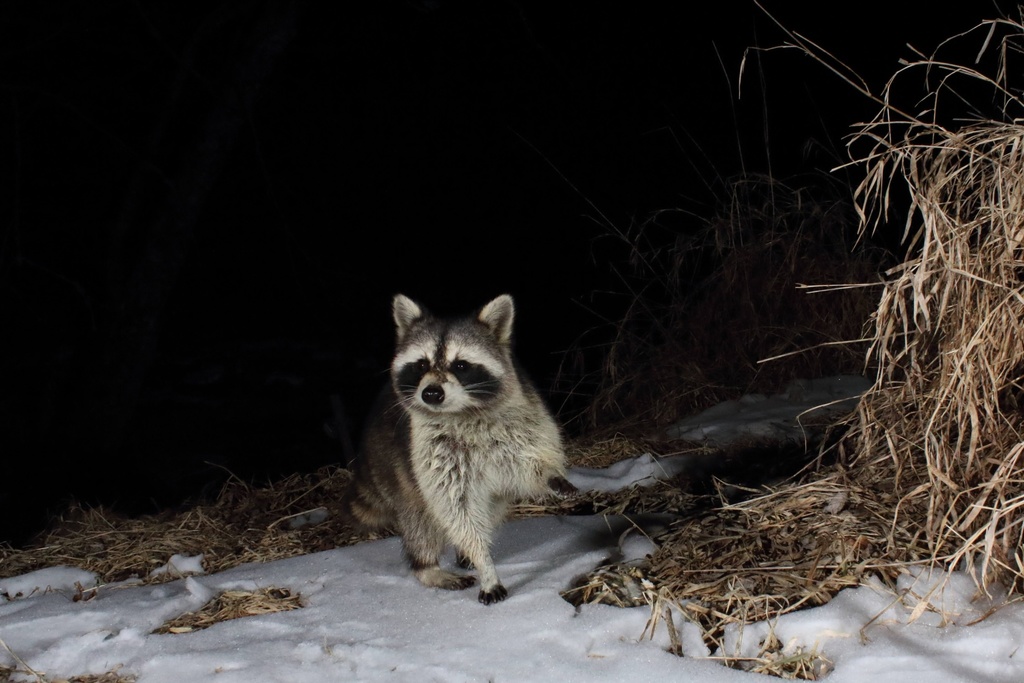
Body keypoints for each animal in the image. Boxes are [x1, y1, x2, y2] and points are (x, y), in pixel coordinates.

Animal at [342, 294, 576, 604]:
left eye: (461, 366)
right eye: (420, 365)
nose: (431, 393)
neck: (463, 414)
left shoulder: (523, 418)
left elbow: (529, 462)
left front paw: (550, 473)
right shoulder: (432, 452)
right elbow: (457, 510)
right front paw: (485, 565)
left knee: (492, 507)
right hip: (393, 469)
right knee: (422, 522)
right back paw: (428, 567)